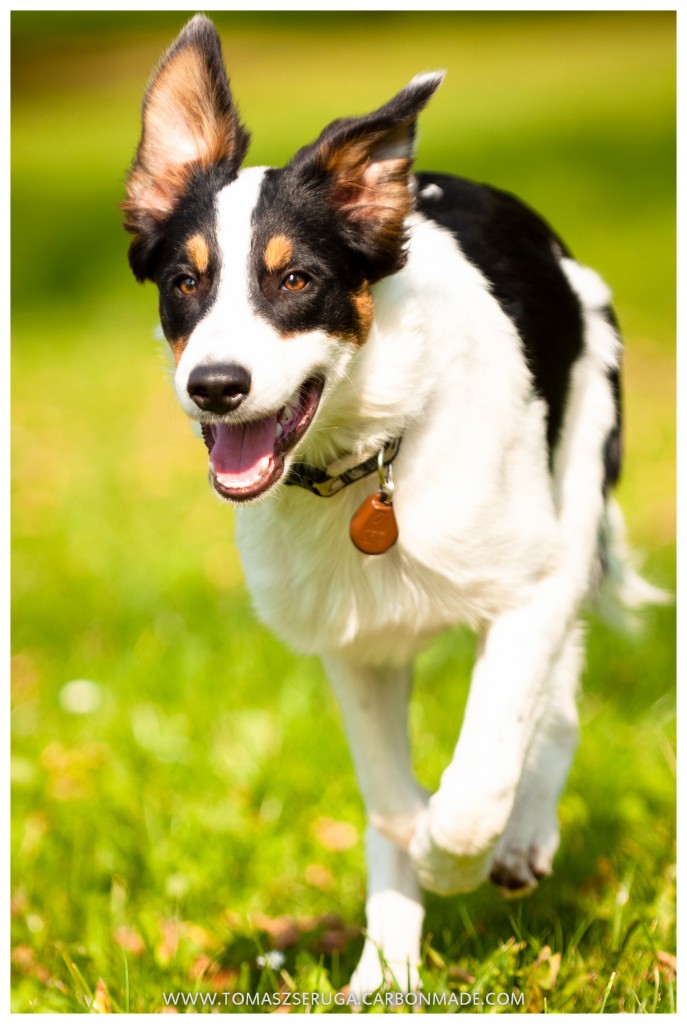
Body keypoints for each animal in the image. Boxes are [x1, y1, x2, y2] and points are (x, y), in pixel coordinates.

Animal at [122, 12, 659, 995]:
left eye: (297, 280)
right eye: (184, 282)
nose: (214, 386)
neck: (365, 461)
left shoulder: (528, 589)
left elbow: (479, 770)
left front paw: (456, 854)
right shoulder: (351, 639)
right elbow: (385, 800)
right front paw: (389, 963)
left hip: (574, 493)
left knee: (556, 698)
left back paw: (521, 840)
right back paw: (386, 973)